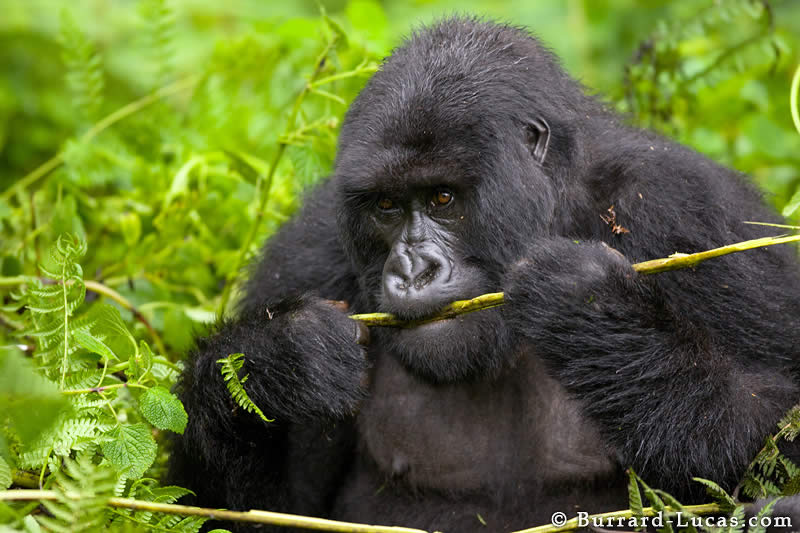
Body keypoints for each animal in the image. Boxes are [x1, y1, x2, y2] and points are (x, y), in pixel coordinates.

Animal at [170, 16, 800, 532]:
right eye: (387, 207)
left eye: (444, 198)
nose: (412, 270)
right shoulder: (309, 252)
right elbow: (258, 513)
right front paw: (273, 363)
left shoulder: (694, 217)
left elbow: (779, 437)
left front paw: (595, 314)